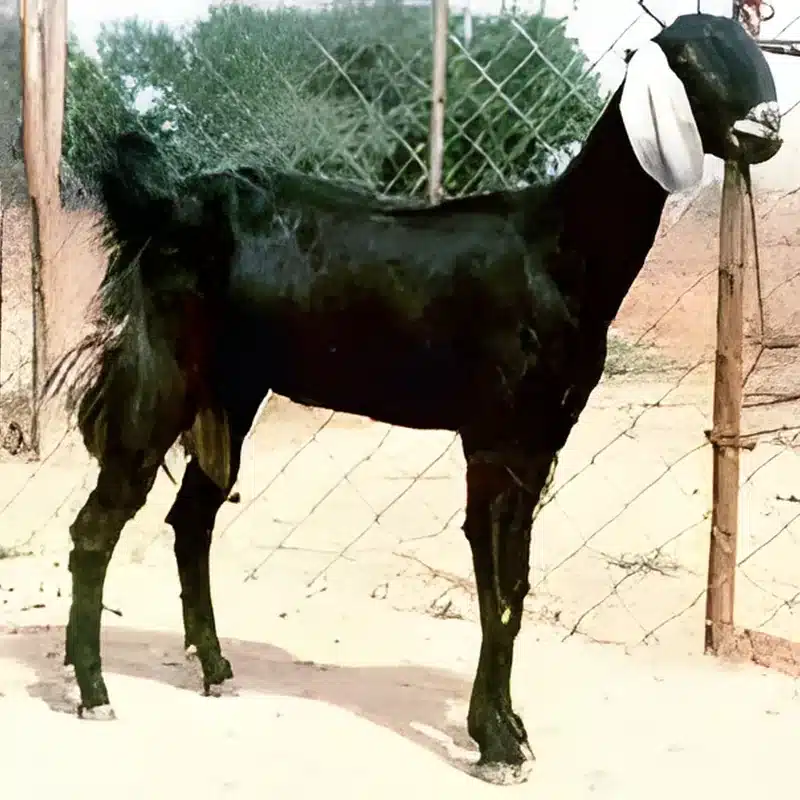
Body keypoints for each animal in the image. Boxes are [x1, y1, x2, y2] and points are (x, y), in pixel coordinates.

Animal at [48, 13, 781, 786]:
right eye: (691, 58)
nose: (766, 129)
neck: (558, 250)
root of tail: (165, 206)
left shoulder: (542, 440)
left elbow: (516, 586)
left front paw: (509, 728)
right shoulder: (495, 437)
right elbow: (498, 588)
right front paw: (496, 744)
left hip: (236, 390)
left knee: (191, 519)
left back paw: (215, 668)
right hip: (164, 372)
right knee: (98, 524)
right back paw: (93, 690)